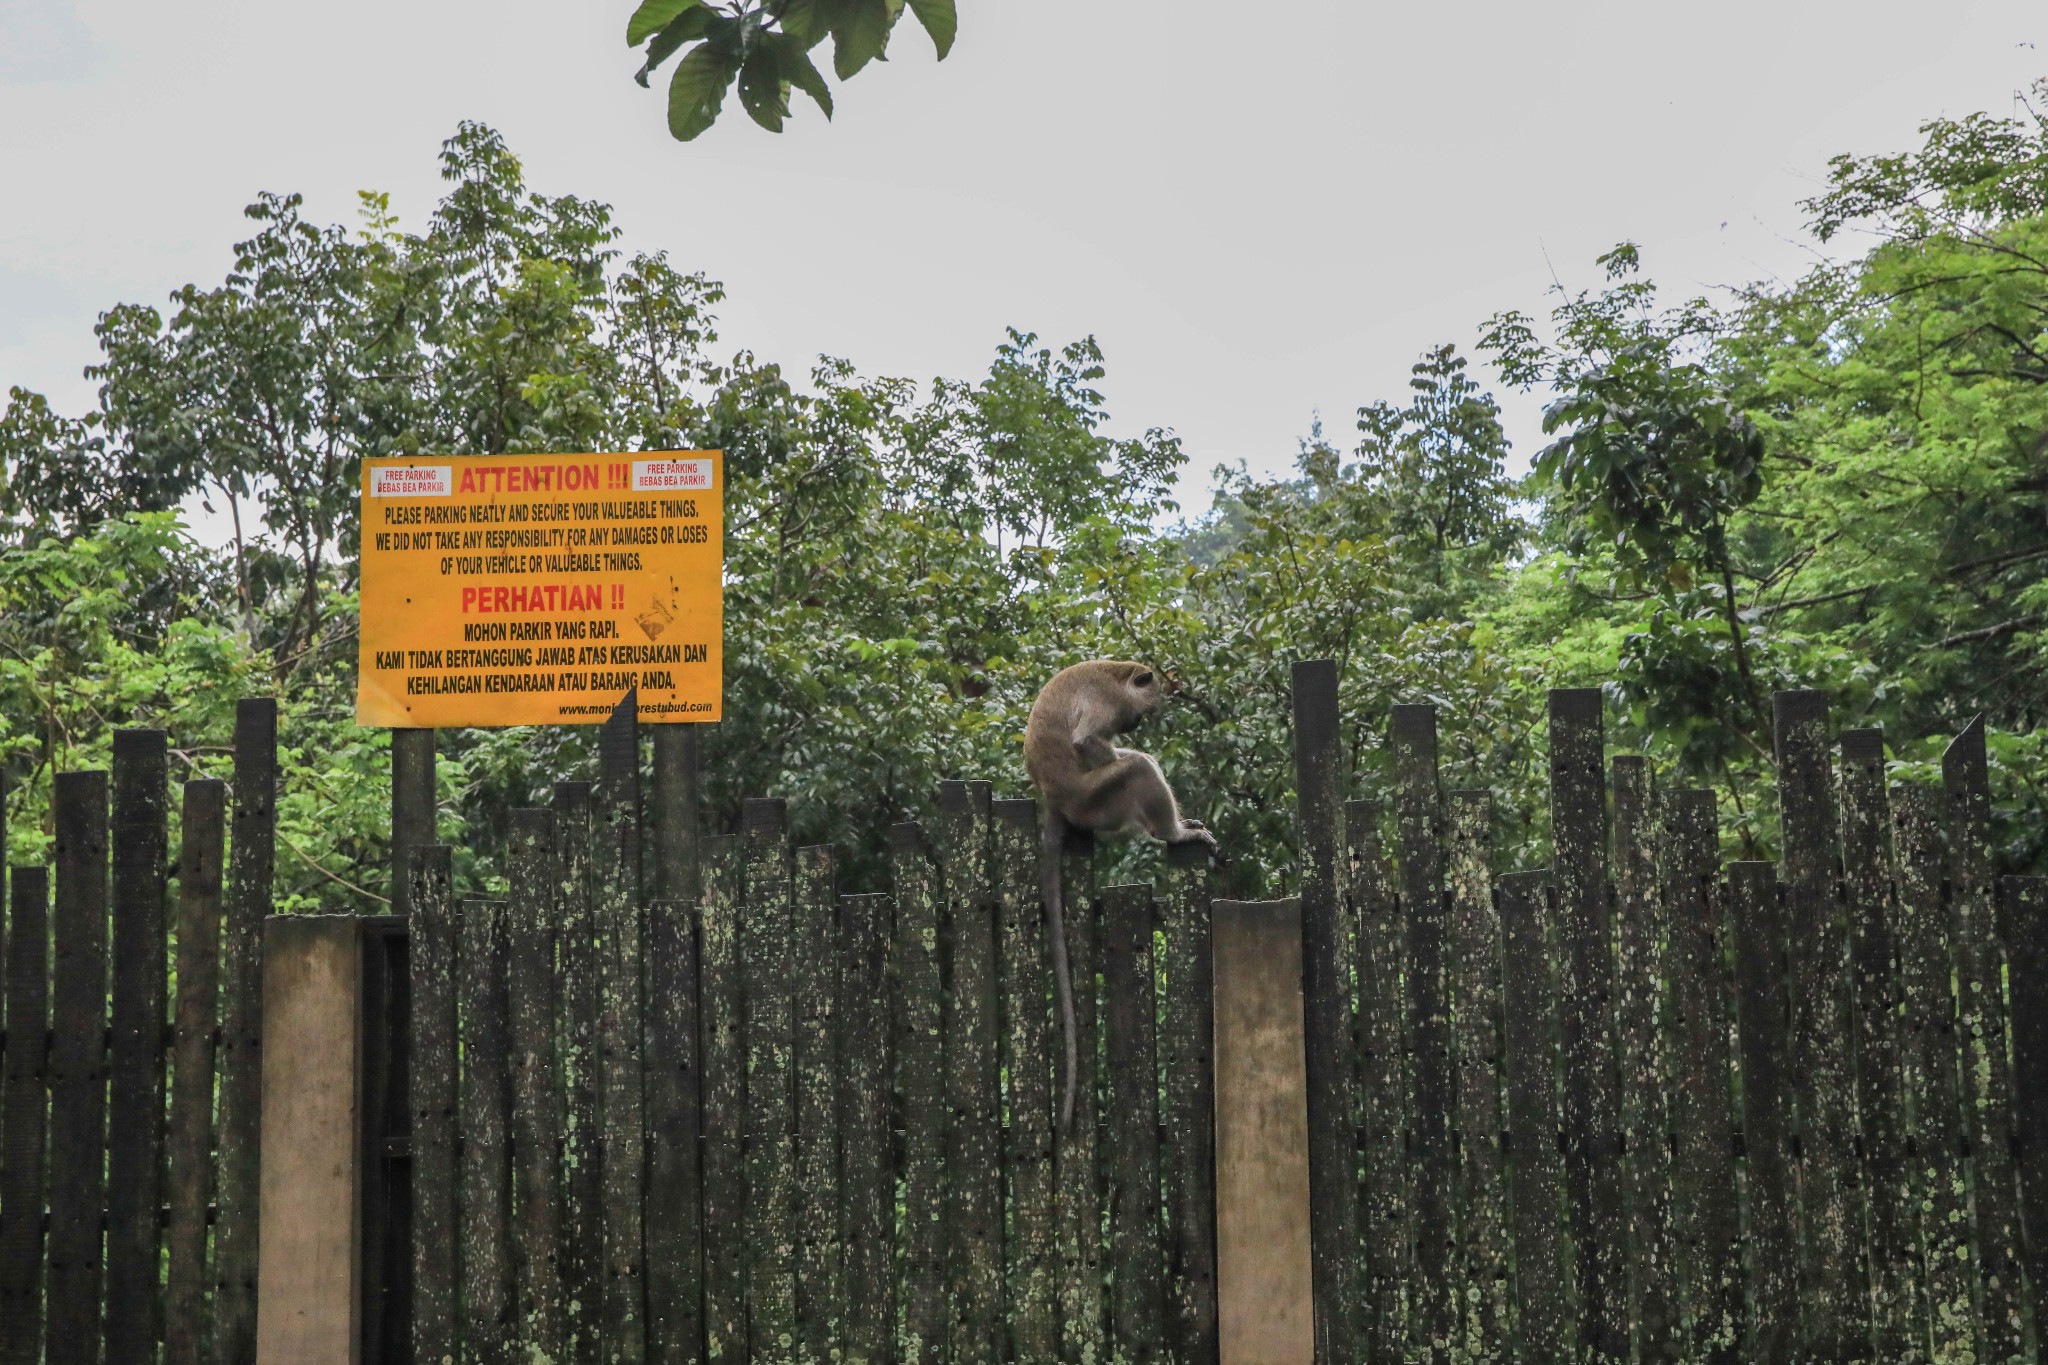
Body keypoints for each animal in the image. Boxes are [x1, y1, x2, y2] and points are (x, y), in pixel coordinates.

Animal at [1024, 663, 1212, 1129]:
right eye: (1142, 710)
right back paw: (1173, 832)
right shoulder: (1104, 702)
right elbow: (1087, 742)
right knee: (1138, 768)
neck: (1116, 676)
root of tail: (1055, 801)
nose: (1137, 724)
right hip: (1095, 801)